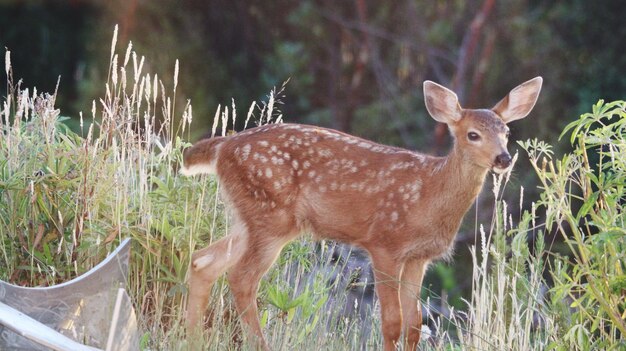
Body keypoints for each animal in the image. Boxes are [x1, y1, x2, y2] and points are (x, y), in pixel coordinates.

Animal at [178, 77, 540, 350]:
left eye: (506, 133)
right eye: (472, 134)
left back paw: (192, 339)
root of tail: (222, 147)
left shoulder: (418, 257)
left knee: (203, 262)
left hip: (252, 218)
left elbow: (414, 324)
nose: (504, 158)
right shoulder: (384, 244)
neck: (428, 195)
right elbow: (392, 321)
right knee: (241, 278)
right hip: (270, 216)